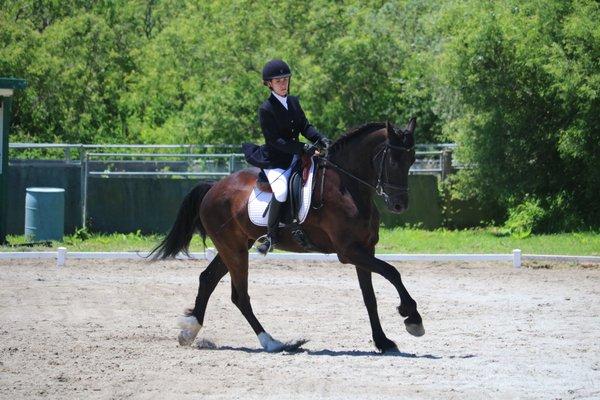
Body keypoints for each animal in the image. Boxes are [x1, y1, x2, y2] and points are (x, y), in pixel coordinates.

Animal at [150, 119, 422, 354]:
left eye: (411, 159)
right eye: (393, 160)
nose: (400, 205)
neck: (347, 186)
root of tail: (213, 187)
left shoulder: (365, 249)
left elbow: (370, 297)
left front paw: (383, 341)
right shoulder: (349, 252)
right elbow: (392, 272)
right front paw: (412, 317)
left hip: (234, 246)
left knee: (208, 279)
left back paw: (190, 331)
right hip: (233, 249)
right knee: (240, 296)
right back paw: (272, 342)